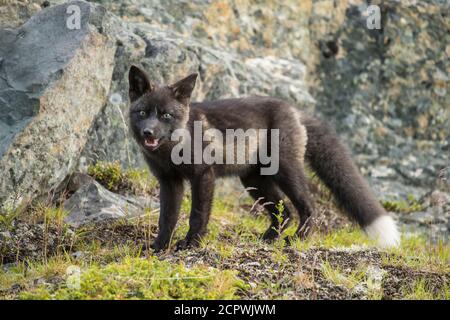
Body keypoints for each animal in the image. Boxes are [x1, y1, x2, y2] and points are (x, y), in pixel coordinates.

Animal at [128, 64, 400, 250]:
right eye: (142, 112)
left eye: (165, 115)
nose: (148, 132)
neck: (170, 152)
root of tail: (295, 111)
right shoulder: (169, 181)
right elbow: (167, 218)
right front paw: (159, 246)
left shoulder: (203, 175)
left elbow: (197, 216)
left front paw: (191, 243)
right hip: (254, 181)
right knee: (285, 212)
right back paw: (268, 239)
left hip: (285, 172)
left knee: (308, 207)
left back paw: (298, 239)